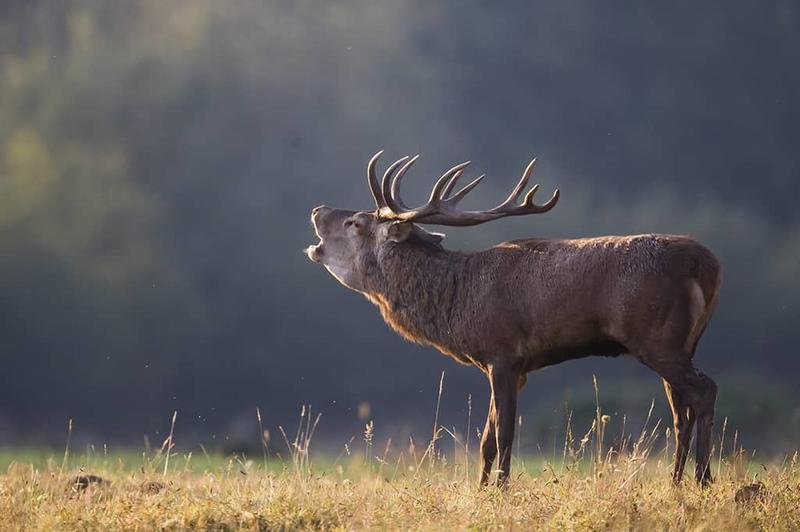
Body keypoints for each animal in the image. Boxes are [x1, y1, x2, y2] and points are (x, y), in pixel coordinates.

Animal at [306, 151, 721, 487]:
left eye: (356, 223)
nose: (317, 210)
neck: (458, 303)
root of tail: (708, 264)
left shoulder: (503, 354)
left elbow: (503, 434)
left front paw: (502, 490)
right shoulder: (508, 367)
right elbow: (486, 440)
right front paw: (481, 491)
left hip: (656, 337)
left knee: (704, 390)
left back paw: (703, 480)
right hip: (682, 343)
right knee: (680, 409)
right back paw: (675, 482)